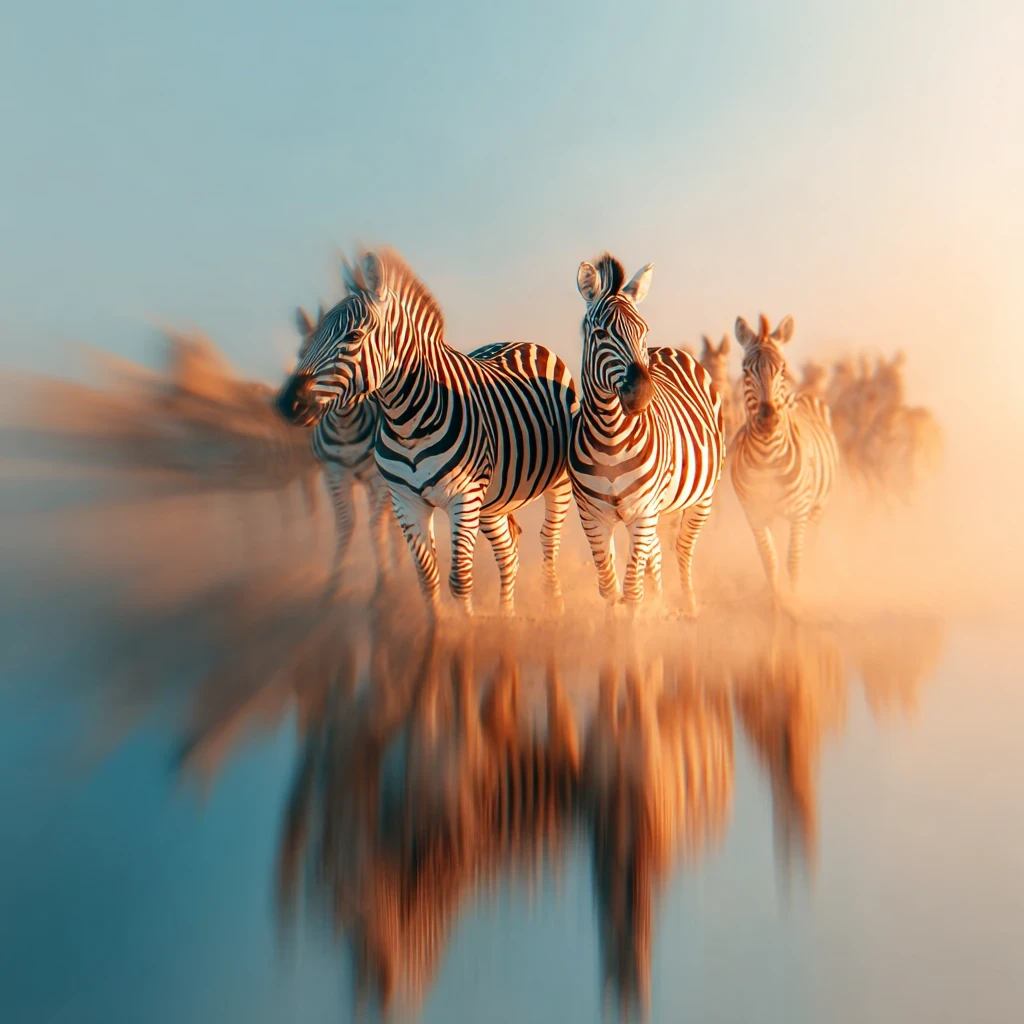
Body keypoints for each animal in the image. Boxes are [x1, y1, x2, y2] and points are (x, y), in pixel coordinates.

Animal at [293, 305, 403, 597]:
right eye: (300, 353)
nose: (299, 406)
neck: (346, 429)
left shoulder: (379, 478)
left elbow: (375, 525)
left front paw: (384, 584)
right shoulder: (333, 474)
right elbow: (345, 524)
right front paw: (333, 584)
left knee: (389, 522)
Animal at [570, 254, 725, 615]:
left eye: (643, 329)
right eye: (600, 332)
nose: (641, 394)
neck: (611, 439)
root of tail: (666, 348)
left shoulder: (642, 512)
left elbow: (631, 592)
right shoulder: (592, 517)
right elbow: (610, 589)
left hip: (702, 497)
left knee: (683, 548)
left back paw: (690, 607)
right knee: (655, 552)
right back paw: (661, 600)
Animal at [731, 314, 839, 598]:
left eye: (783, 370)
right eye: (745, 371)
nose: (768, 420)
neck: (767, 457)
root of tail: (800, 395)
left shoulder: (799, 512)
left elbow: (793, 561)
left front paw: (795, 600)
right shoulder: (755, 512)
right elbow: (770, 560)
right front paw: (776, 602)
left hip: (817, 506)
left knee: (809, 544)